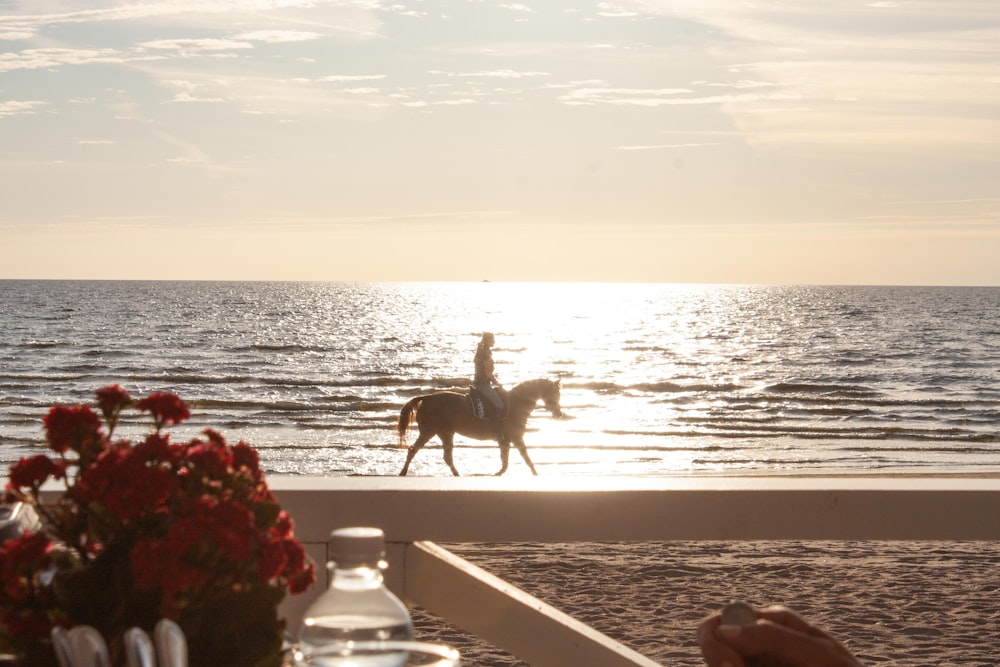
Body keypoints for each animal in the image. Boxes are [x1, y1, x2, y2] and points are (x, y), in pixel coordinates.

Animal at [396, 378, 564, 478]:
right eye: (555, 393)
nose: (559, 413)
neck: (516, 403)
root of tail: (427, 397)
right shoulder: (517, 437)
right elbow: (526, 457)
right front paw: (536, 474)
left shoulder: (505, 440)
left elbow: (505, 458)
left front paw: (499, 473)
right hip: (433, 431)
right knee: (417, 451)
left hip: (442, 432)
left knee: (437, 455)